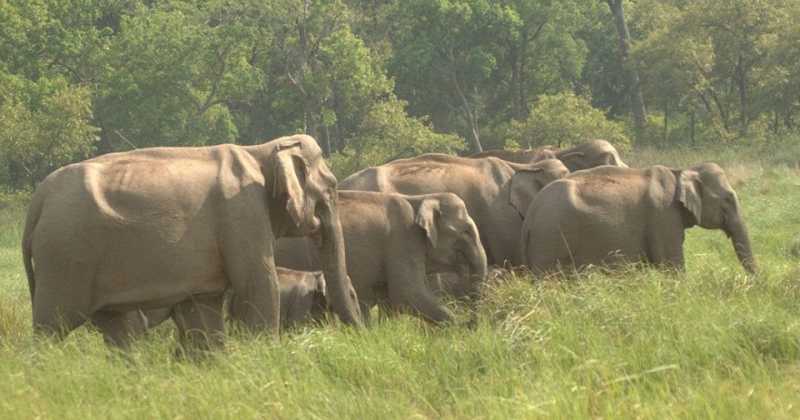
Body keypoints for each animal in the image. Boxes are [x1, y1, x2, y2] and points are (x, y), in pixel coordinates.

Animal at [21, 134, 362, 348]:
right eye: (331, 188)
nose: (360, 337)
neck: (260, 151)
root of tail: (39, 199)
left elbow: (203, 307)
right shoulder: (243, 214)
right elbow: (258, 286)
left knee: (117, 331)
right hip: (65, 257)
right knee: (51, 326)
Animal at [275, 190, 488, 324]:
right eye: (466, 231)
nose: (472, 321)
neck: (421, 199)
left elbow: (389, 300)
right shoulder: (403, 241)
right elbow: (407, 293)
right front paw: (457, 328)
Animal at [521, 163, 757, 274]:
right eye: (728, 199)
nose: (754, 283)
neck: (681, 171)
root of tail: (530, 215)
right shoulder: (663, 217)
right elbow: (671, 265)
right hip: (552, 237)